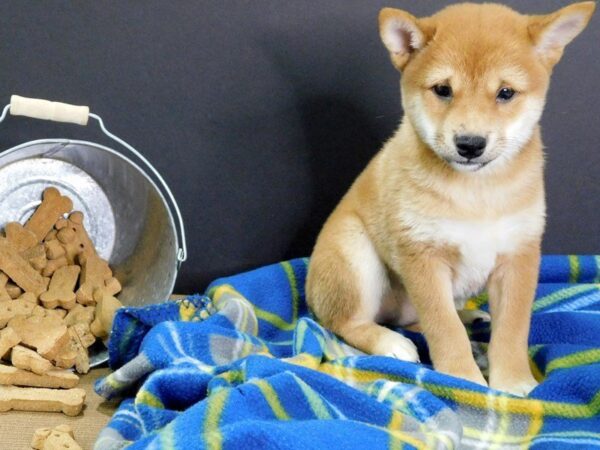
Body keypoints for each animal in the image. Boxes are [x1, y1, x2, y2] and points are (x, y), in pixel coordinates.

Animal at [310, 1, 596, 396]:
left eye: (506, 93)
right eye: (443, 89)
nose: (470, 144)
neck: (477, 192)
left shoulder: (518, 257)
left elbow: (512, 331)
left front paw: (514, 382)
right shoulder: (423, 257)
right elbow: (445, 331)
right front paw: (463, 381)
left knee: (416, 319)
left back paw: (468, 315)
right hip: (354, 253)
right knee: (346, 322)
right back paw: (390, 342)